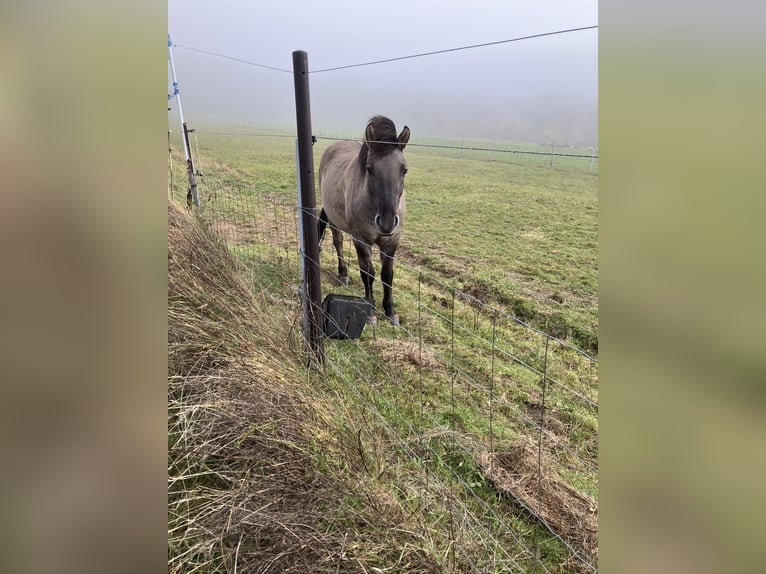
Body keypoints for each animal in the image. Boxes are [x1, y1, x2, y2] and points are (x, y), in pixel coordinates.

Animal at [318, 115, 410, 326]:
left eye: (404, 170)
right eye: (370, 169)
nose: (386, 222)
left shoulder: (392, 241)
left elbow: (387, 275)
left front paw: (390, 312)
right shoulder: (361, 240)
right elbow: (368, 274)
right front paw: (371, 313)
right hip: (334, 219)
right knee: (338, 241)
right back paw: (343, 274)